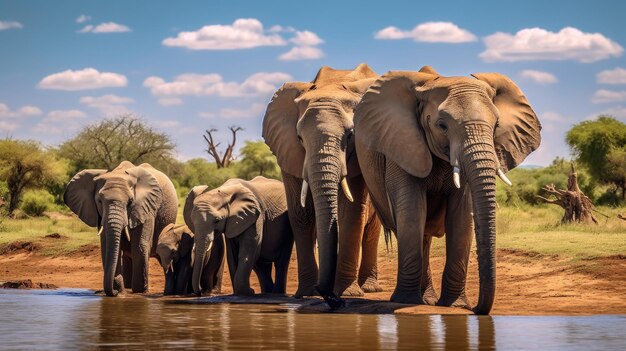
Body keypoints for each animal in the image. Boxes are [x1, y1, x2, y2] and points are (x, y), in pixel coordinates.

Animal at [63, 162, 177, 296]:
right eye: (99, 201)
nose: (115, 288)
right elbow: (106, 246)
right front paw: (120, 291)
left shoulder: (147, 208)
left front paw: (139, 293)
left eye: (131, 202)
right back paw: (127, 287)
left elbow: (139, 245)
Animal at [260, 64, 382, 308]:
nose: (333, 300)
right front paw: (306, 293)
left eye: (350, 135)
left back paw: (369, 288)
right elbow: (301, 213)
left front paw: (348, 294)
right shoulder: (289, 149)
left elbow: (351, 213)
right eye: (299, 137)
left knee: (371, 229)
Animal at [354, 66, 540, 316]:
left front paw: (454, 305)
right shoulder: (401, 143)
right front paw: (404, 300)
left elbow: (461, 216)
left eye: (496, 126)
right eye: (441, 125)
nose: (476, 309)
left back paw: (428, 299)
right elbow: (411, 210)